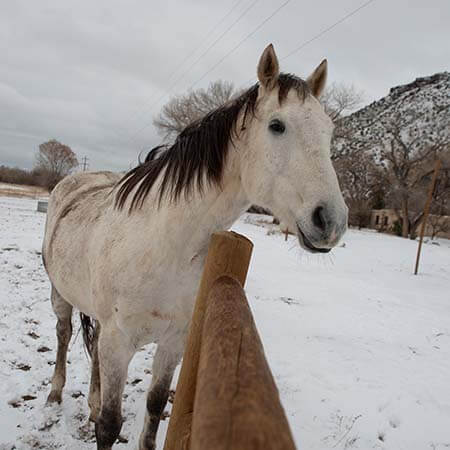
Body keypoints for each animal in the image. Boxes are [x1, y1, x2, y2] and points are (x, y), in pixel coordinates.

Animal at [42, 43, 348, 450]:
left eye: (329, 131)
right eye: (277, 125)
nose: (331, 221)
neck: (162, 247)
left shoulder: (172, 341)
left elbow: (155, 406)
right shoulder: (119, 342)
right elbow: (109, 424)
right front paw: (97, 416)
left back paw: (89, 402)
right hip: (60, 295)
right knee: (62, 336)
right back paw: (55, 394)